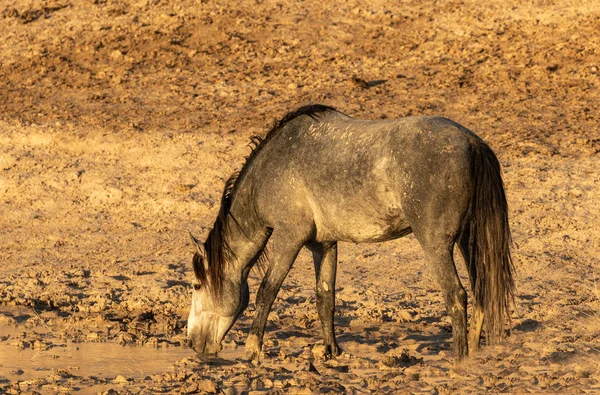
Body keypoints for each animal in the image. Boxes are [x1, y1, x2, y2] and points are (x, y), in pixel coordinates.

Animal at [185, 103, 512, 360]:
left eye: (197, 285)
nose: (192, 343)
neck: (273, 168)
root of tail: (472, 142)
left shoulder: (289, 238)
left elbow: (267, 291)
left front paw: (253, 349)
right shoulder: (324, 245)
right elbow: (325, 298)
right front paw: (331, 350)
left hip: (436, 244)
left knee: (456, 296)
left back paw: (459, 360)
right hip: (469, 240)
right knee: (480, 290)